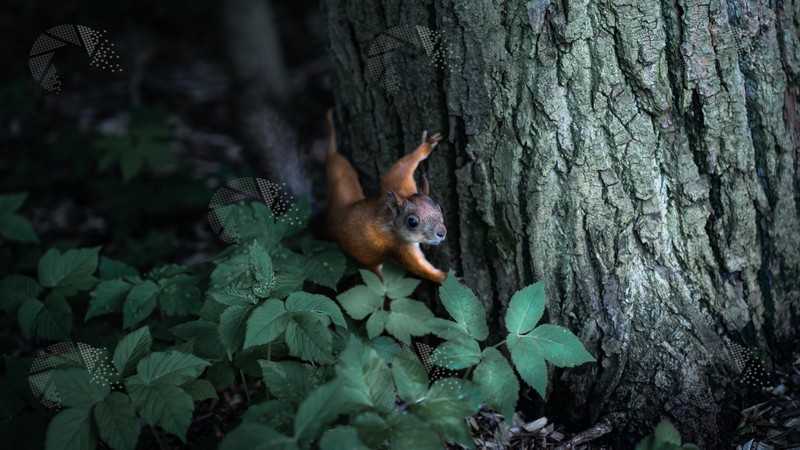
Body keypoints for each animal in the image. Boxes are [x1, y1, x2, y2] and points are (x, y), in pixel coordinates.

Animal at [324, 110, 450, 284]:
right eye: (412, 222)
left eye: (440, 207)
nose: (441, 232)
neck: (390, 219)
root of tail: (334, 213)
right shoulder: (400, 248)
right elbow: (420, 268)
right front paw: (446, 277)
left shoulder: (397, 186)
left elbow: (400, 168)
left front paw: (426, 146)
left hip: (343, 177)